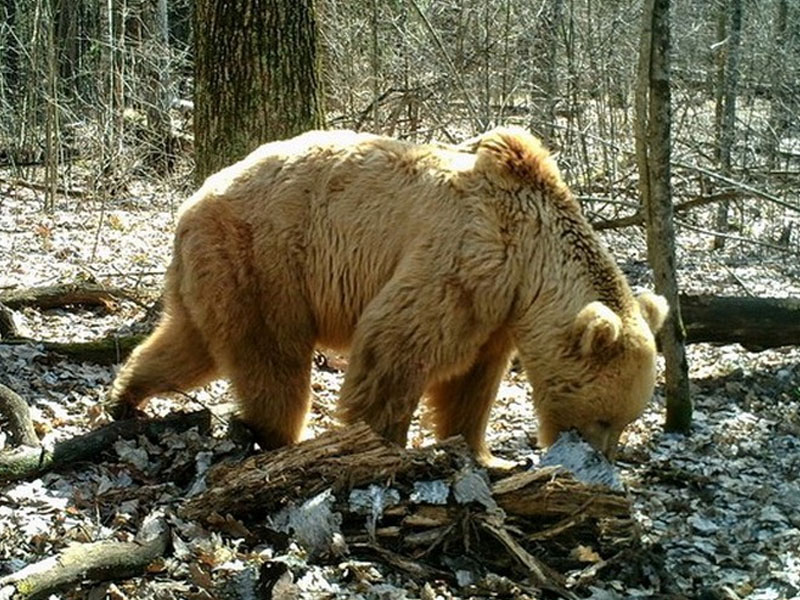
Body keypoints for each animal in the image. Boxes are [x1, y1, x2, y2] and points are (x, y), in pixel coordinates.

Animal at [108, 125, 668, 464]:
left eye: (625, 420)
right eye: (604, 417)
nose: (603, 456)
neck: (531, 262)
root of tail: (193, 200)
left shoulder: (497, 311)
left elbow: (472, 382)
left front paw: (481, 453)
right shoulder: (467, 262)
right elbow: (397, 343)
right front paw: (381, 444)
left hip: (214, 269)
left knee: (189, 343)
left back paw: (126, 395)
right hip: (263, 258)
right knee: (272, 356)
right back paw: (279, 434)